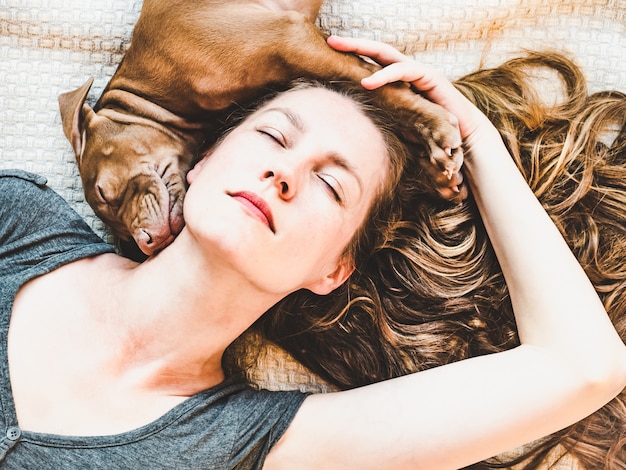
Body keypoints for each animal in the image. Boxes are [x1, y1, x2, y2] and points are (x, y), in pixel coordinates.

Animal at [58, 0, 460, 258]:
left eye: (105, 192)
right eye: (121, 237)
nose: (145, 244)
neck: (157, 92)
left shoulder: (294, 43)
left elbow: (383, 88)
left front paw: (436, 128)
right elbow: (379, 102)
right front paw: (434, 169)